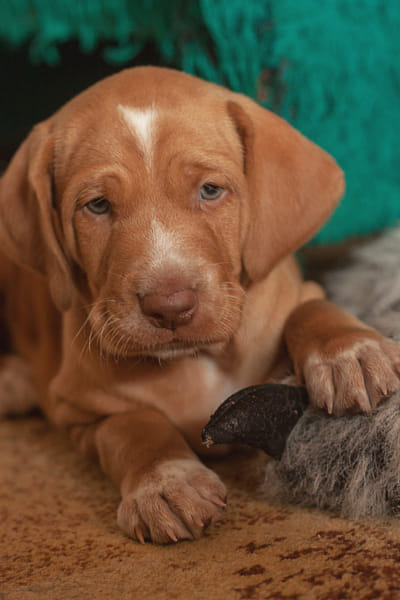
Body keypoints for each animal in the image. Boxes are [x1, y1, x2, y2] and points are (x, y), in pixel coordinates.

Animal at [1, 67, 399, 544]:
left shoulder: (292, 291)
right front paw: (165, 481)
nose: (170, 306)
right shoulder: (80, 411)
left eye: (210, 191)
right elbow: (134, 427)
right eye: (97, 205)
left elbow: (310, 310)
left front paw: (350, 352)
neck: (197, 359)